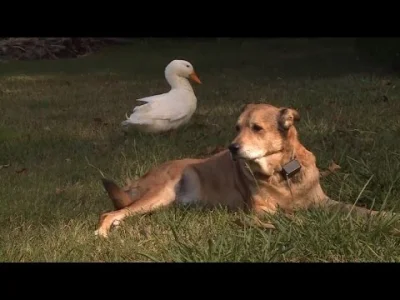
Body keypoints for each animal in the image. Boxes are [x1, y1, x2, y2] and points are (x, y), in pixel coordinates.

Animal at [95, 102, 392, 238]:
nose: (232, 148)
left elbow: (357, 209)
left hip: (162, 203)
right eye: (237, 128)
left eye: (256, 128)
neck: (282, 173)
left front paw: (385, 217)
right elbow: (295, 217)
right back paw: (103, 231)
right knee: (110, 211)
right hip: (159, 193)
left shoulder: (324, 201)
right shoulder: (262, 211)